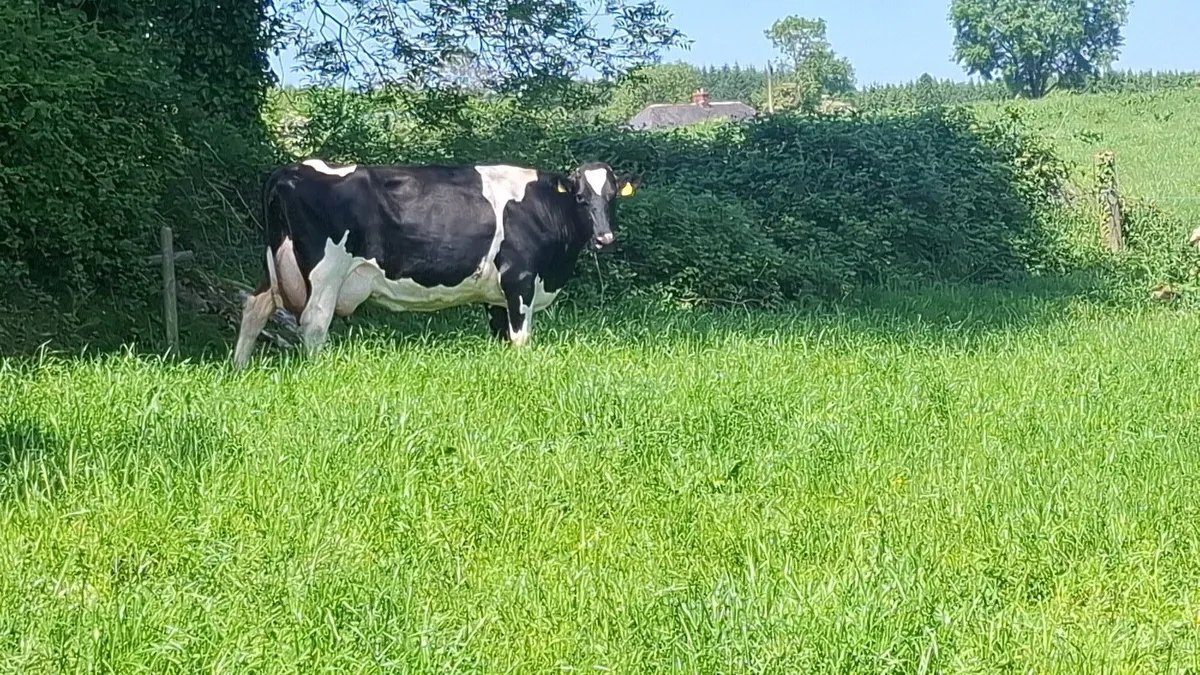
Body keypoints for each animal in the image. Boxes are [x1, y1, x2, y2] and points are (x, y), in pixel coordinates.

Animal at [232, 158, 637, 369]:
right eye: (580, 197)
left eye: (612, 196)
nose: (605, 238)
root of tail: (292, 170)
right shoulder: (519, 279)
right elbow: (521, 337)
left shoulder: (496, 294)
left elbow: (503, 336)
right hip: (326, 272)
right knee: (314, 323)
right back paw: (319, 371)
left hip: (273, 265)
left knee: (255, 307)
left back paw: (239, 368)